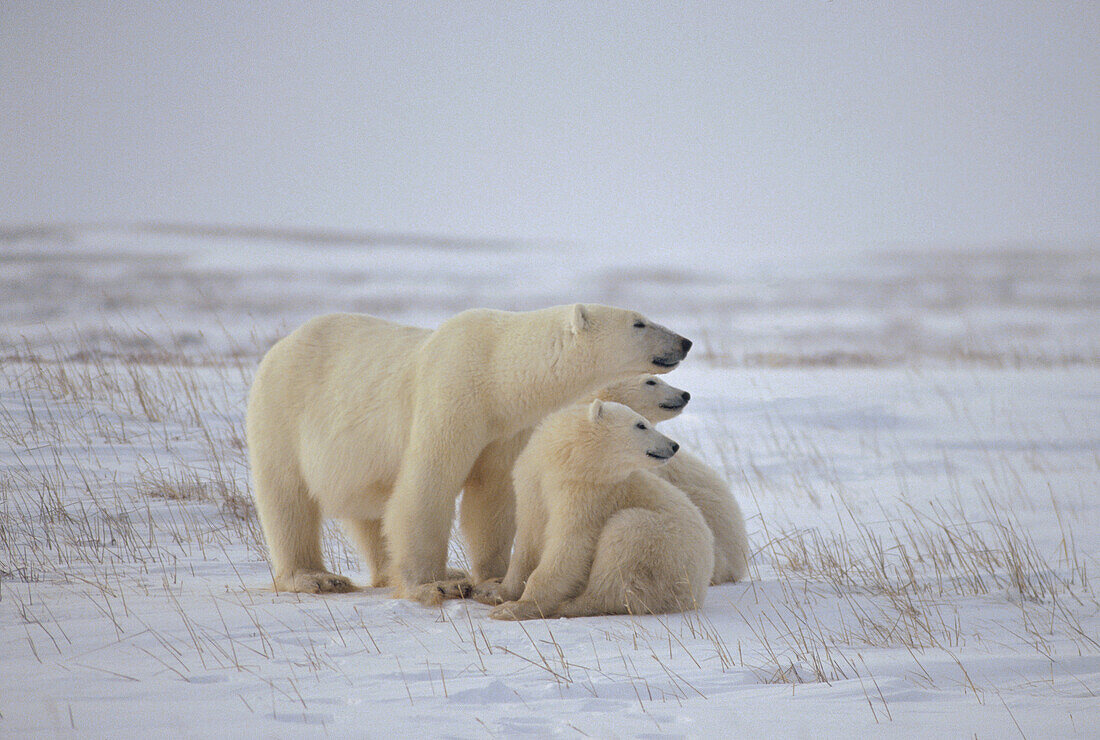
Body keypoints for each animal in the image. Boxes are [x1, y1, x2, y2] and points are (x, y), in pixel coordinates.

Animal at [248, 303, 690, 602]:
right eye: (639, 322)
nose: (684, 341)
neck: (496, 371)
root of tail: (281, 344)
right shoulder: (451, 394)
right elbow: (427, 485)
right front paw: (437, 583)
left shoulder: (505, 428)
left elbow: (491, 495)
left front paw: (491, 579)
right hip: (281, 414)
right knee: (287, 499)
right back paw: (316, 577)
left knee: (368, 511)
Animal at [488, 398, 712, 615]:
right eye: (641, 424)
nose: (674, 445)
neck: (564, 460)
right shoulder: (532, 483)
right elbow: (528, 538)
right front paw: (496, 591)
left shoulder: (590, 496)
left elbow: (570, 545)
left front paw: (515, 607)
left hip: (665, 550)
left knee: (622, 548)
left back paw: (570, 605)